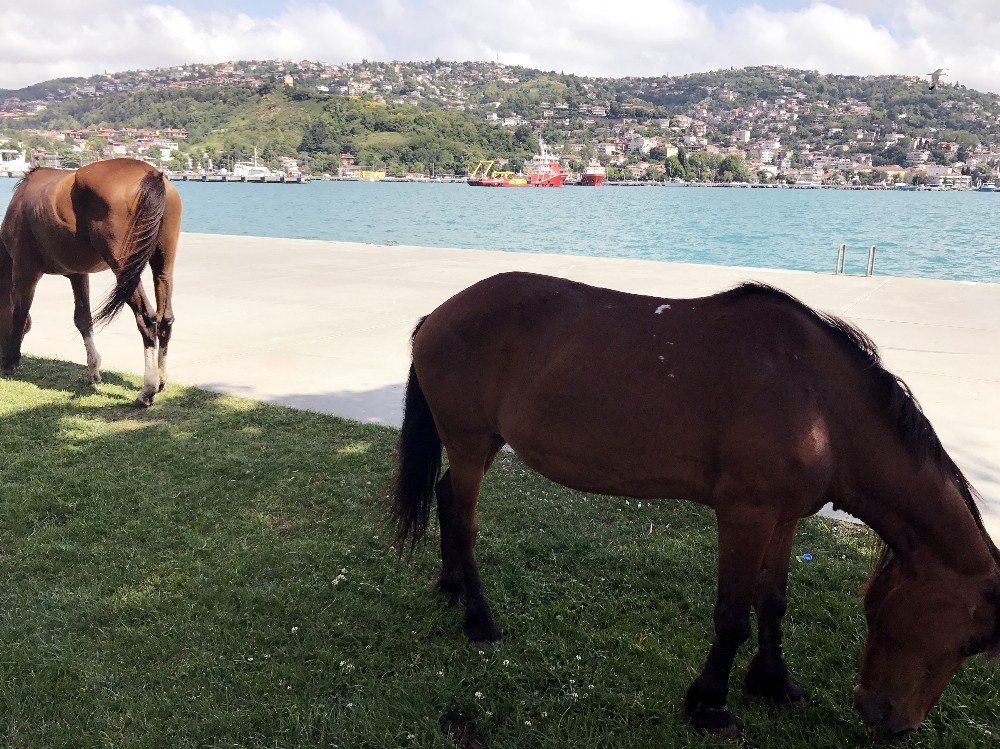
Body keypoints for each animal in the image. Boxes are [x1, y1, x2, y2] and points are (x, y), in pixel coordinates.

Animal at [1, 157, 181, 404]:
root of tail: (152, 174)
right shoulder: (78, 274)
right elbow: (83, 319)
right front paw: (93, 370)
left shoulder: (24, 271)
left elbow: (19, 313)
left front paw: (11, 361)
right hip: (163, 267)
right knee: (165, 319)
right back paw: (161, 380)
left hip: (125, 271)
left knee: (146, 319)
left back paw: (147, 389)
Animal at [392, 272, 1000, 740]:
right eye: (974, 641)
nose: (890, 720)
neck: (819, 402)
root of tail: (439, 314)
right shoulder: (744, 514)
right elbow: (732, 616)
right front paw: (710, 704)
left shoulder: (783, 517)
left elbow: (772, 602)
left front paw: (774, 682)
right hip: (469, 440)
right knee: (465, 521)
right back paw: (479, 618)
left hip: (483, 444)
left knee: (446, 500)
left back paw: (451, 588)